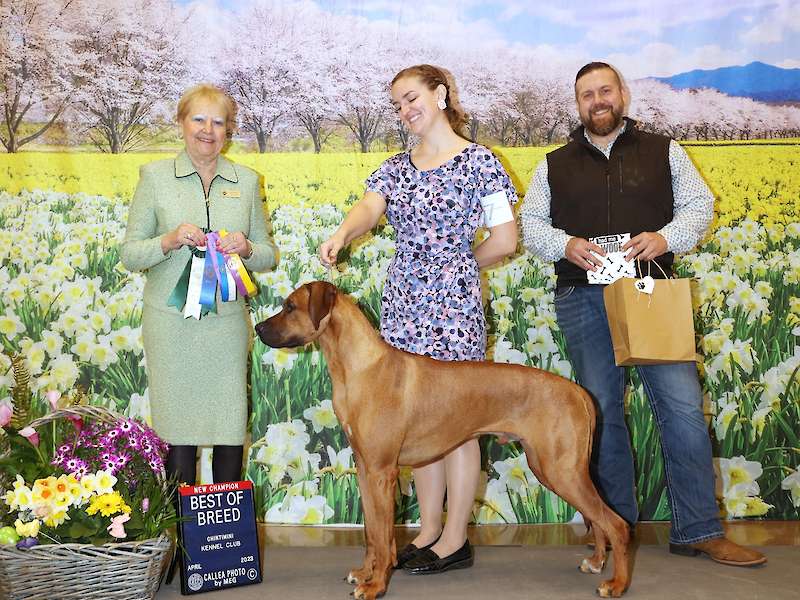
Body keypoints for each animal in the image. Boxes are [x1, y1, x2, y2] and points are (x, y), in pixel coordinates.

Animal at [256, 282, 632, 600]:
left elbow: (383, 536)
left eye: (290, 306)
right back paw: (596, 562)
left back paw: (616, 583)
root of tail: (578, 391)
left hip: (559, 469)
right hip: (559, 470)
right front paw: (365, 574)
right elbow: (372, 534)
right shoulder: (365, 470)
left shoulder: (381, 472)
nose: (258, 329)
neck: (358, 367)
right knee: (599, 519)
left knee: (616, 523)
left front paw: (376, 586)